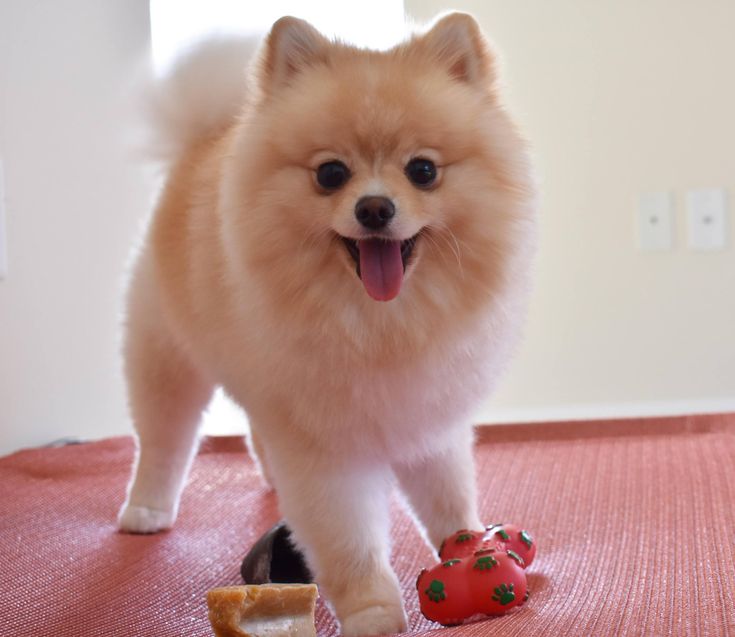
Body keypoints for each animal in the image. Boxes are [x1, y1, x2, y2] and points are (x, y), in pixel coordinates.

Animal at [119, 12, 536, 632]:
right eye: (331, 173)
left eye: (424, 170)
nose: (374, 208)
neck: (380, 323)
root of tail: (205, 139)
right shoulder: (324, 448)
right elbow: (348, 540)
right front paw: (373, 611)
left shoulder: (428, 416)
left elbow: (449, 498)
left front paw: (470, 548)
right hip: (166, 353)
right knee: (164, 437)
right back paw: (146, 507)